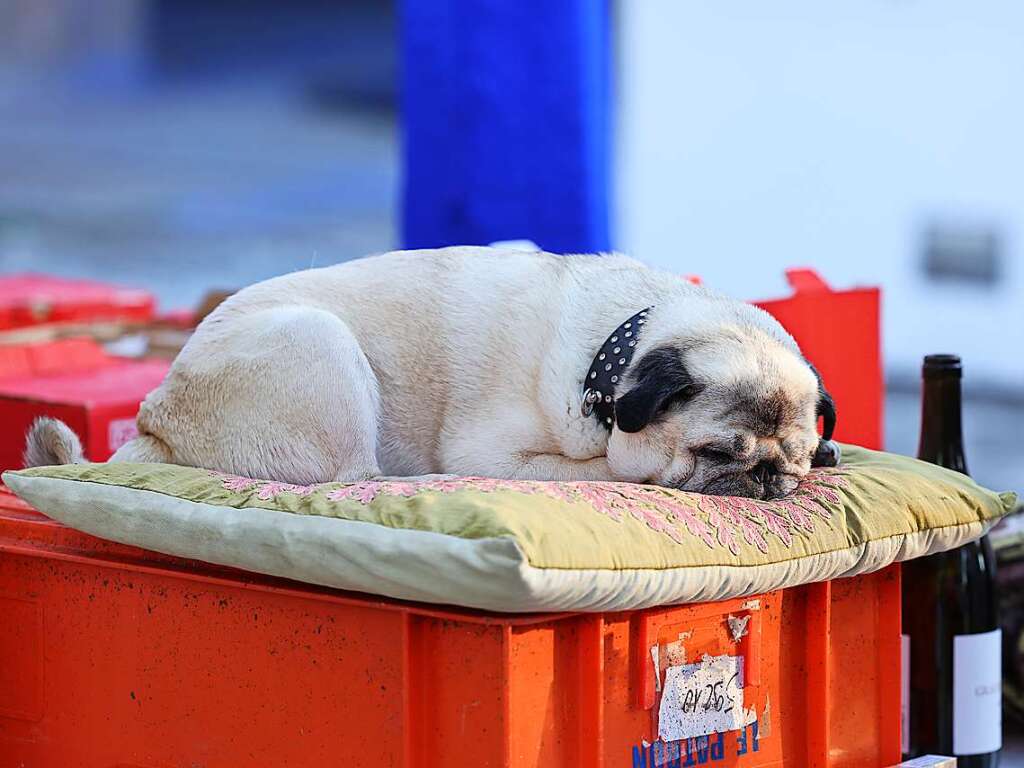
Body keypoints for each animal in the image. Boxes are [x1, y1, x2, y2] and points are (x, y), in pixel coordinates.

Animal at [25, 244, 839, 499]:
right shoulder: (494, 454)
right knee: (351, 476)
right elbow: (606, 471)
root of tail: (156, 416)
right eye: (716, 453)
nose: (769, 477)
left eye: (792, 458)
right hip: (321, 347)